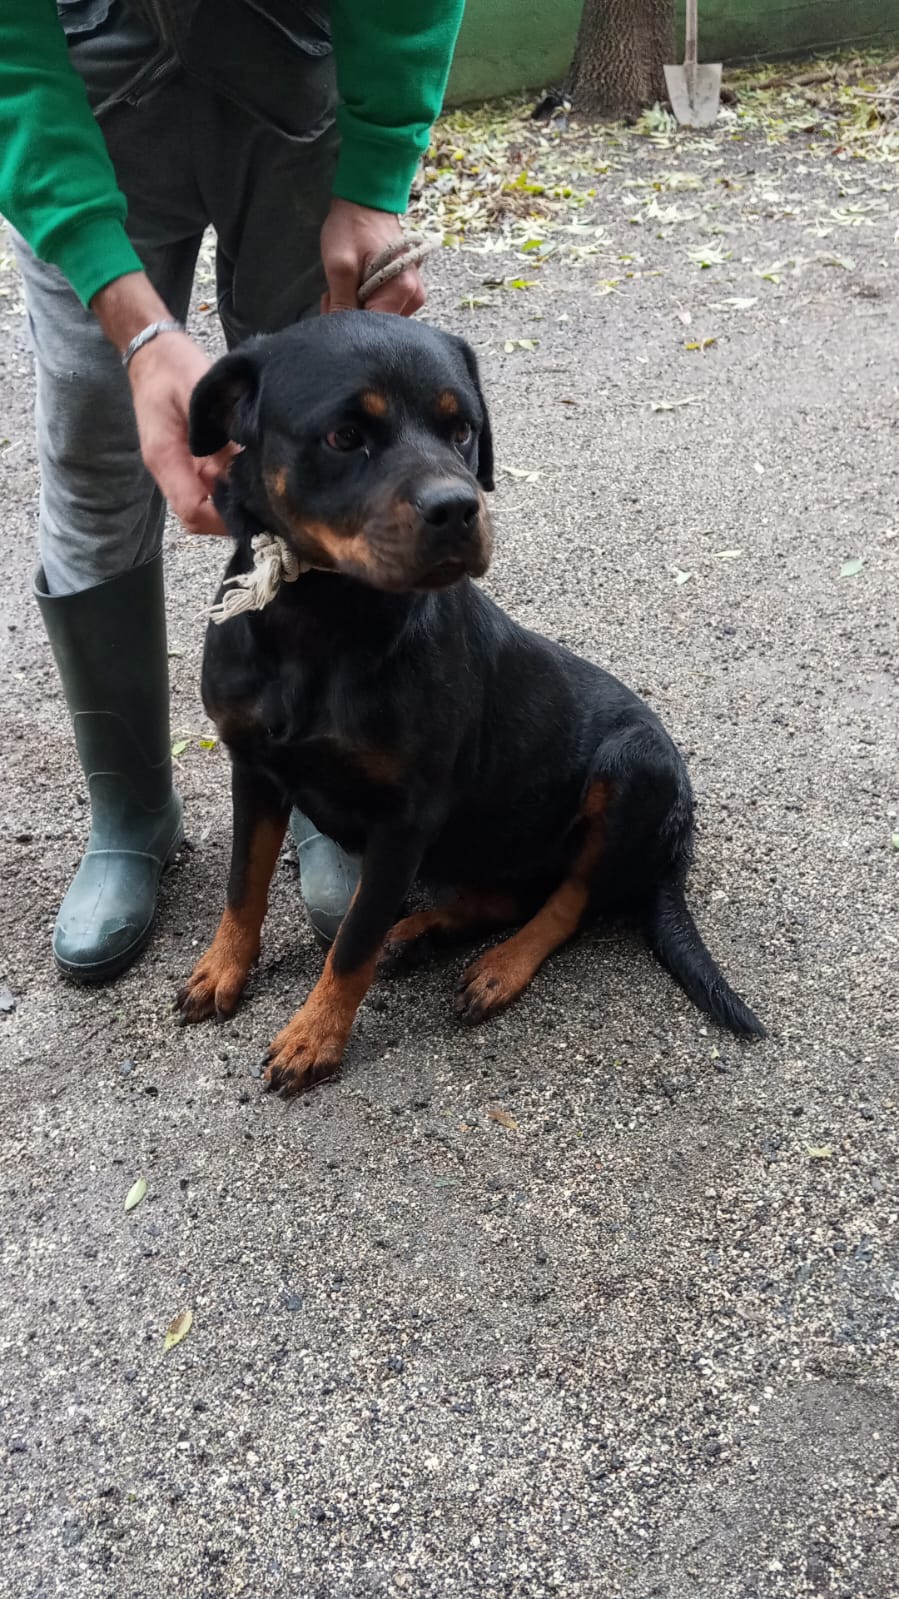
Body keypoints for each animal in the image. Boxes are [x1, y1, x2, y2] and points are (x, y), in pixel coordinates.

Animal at [176, 313, 764, 1093]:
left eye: (462, 430)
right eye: (344, 436)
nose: (459, 508)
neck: (322, 622)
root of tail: (676, 845)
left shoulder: (405, 817)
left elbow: (352, 940)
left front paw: (315, 1034)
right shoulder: (254, 767)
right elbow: (244, 886)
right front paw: (221, 970)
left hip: (635, 767)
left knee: (567, 902)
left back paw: (497, 968)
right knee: (514, 891)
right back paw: (426, 930)